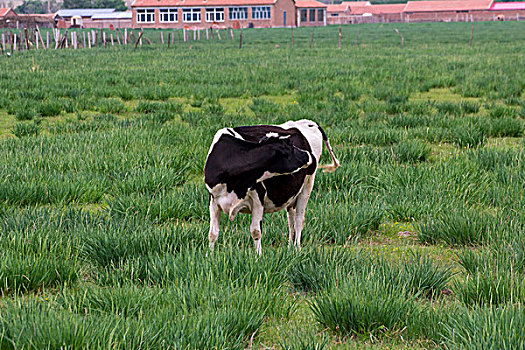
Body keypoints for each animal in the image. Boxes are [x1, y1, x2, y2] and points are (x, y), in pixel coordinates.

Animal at [203, 119, 338, 253]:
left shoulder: (258, 198)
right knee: (291, 219)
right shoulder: (213, 199)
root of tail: (307, 122)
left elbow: (256, 231)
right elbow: (213, 233)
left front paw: (258, 256)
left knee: (299, 219)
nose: (309, 156)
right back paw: (290, 248)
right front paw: (210, 255)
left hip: (307, 185)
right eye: (291, 148)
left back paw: (297, 248)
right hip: (292, 194)